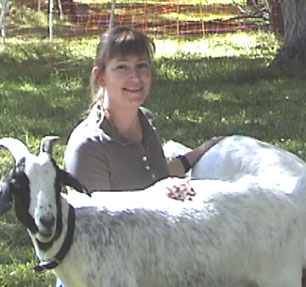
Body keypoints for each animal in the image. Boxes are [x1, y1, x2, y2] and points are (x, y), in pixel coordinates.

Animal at [0, 138, 306, 286]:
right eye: (18, 185)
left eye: (57, 182)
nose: (47, 220)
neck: (75, 235)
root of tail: (289, 196)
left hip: (281, 278)